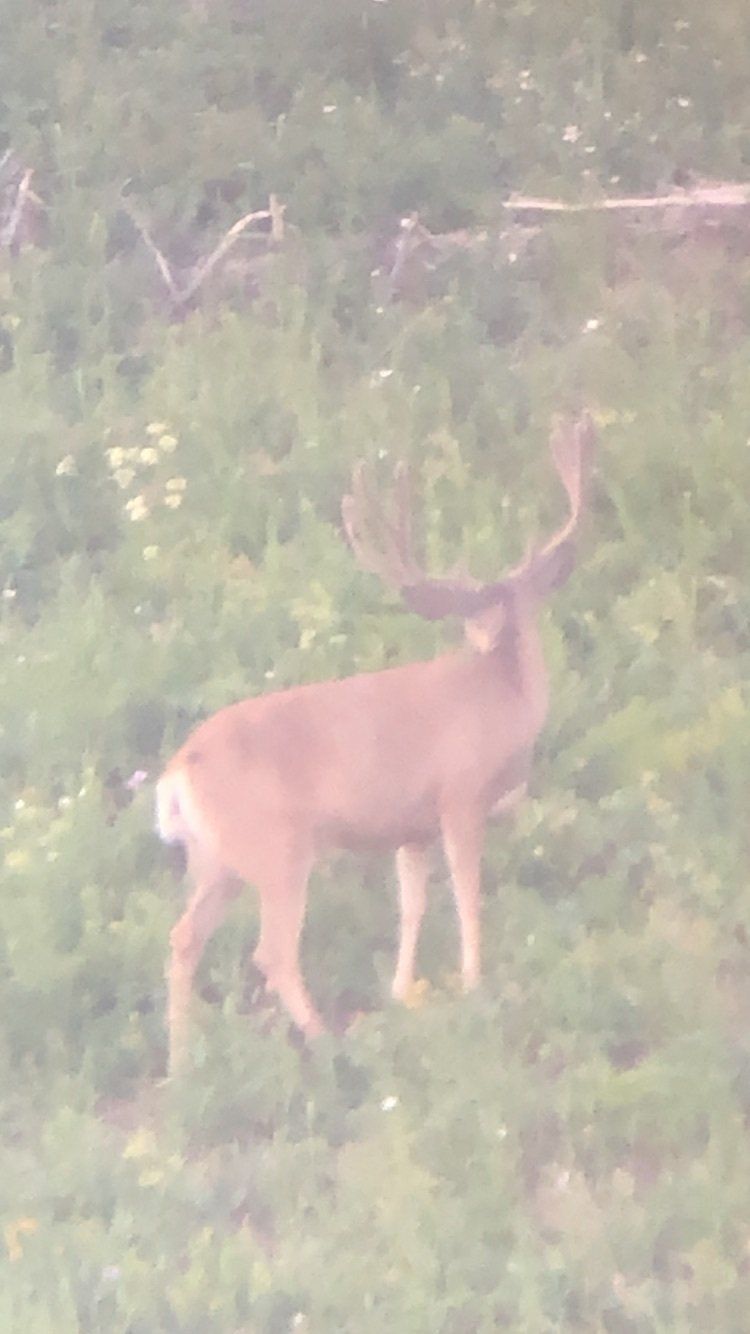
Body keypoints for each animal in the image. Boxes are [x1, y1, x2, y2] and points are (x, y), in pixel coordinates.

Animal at [157, 413, 593, 1072]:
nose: (485, 632)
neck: (503, 699)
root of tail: (179, 769)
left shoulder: (409, 829)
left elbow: (410, 906)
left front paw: (402, 992)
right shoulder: (458, 796)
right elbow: (467, 894)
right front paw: (474, 984)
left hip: (214, 860)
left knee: (183, 939)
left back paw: (181, 1068)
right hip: (277, 848)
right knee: (272, 950)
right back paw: (324, 1043)